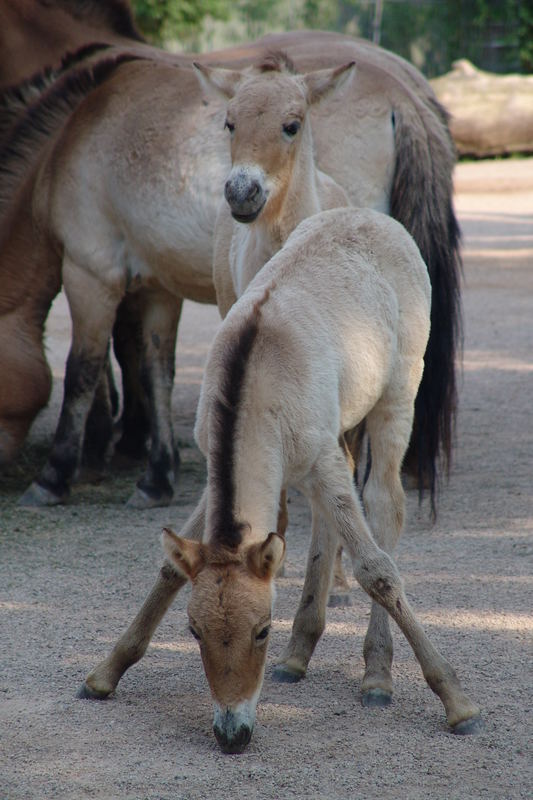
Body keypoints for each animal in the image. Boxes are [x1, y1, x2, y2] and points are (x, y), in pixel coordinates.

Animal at [0, 31, 458, 512]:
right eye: (229, 124)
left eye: (292, 125)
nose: (241, 191)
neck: (68, 141)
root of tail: (405, 101)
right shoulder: (155, 285)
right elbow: (153, 369)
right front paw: (149, 472)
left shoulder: (90, 269)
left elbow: (83, 370)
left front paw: (57, 475)